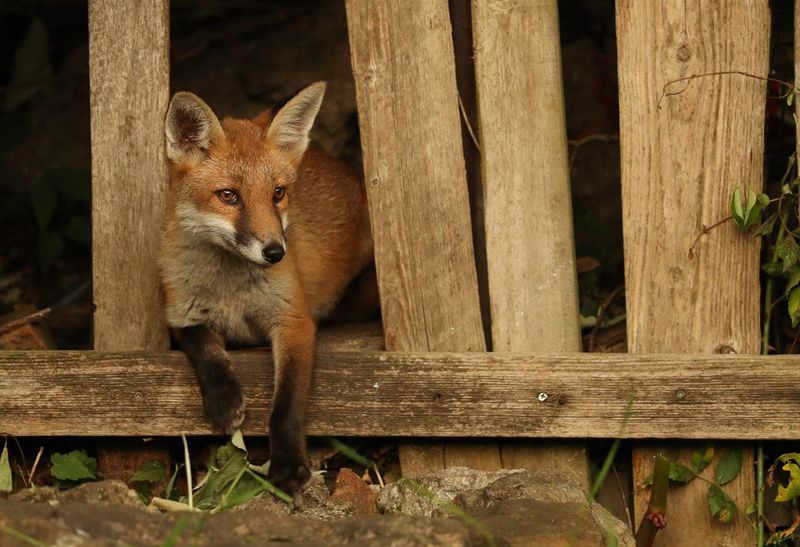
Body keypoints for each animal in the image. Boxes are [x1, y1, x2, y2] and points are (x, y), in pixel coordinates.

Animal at [161, 82, 376, 496]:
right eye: (228, 196)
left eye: (277, 193)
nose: (276, 252)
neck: (231, 291)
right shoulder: (181, 314)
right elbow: (204, 347)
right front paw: (224, 400)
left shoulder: (293, 320)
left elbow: (287, 407)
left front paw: (289, 465)